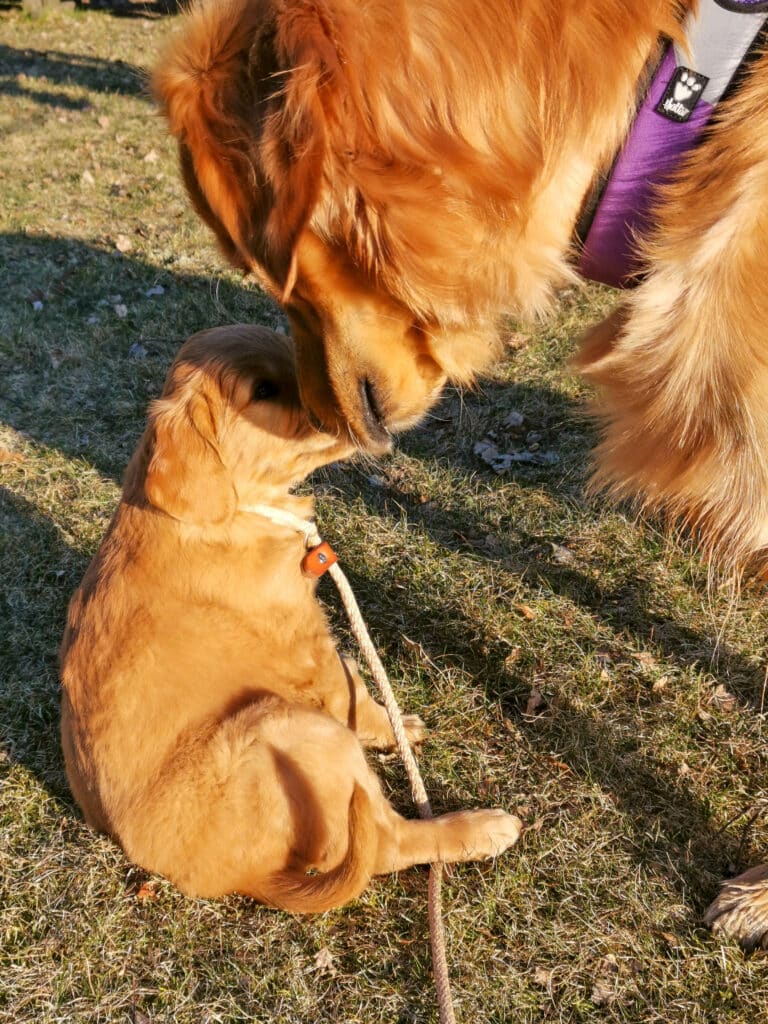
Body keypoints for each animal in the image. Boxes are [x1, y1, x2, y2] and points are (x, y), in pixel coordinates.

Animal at [60, 323, 528, 909]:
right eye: (263, 390)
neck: (238, 510)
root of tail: (249, 879)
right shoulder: (310, 649)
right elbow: (358, 692)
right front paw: (392, 727)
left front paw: (398, 726)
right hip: (296, 729)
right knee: (389, 843)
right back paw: (482, 829)